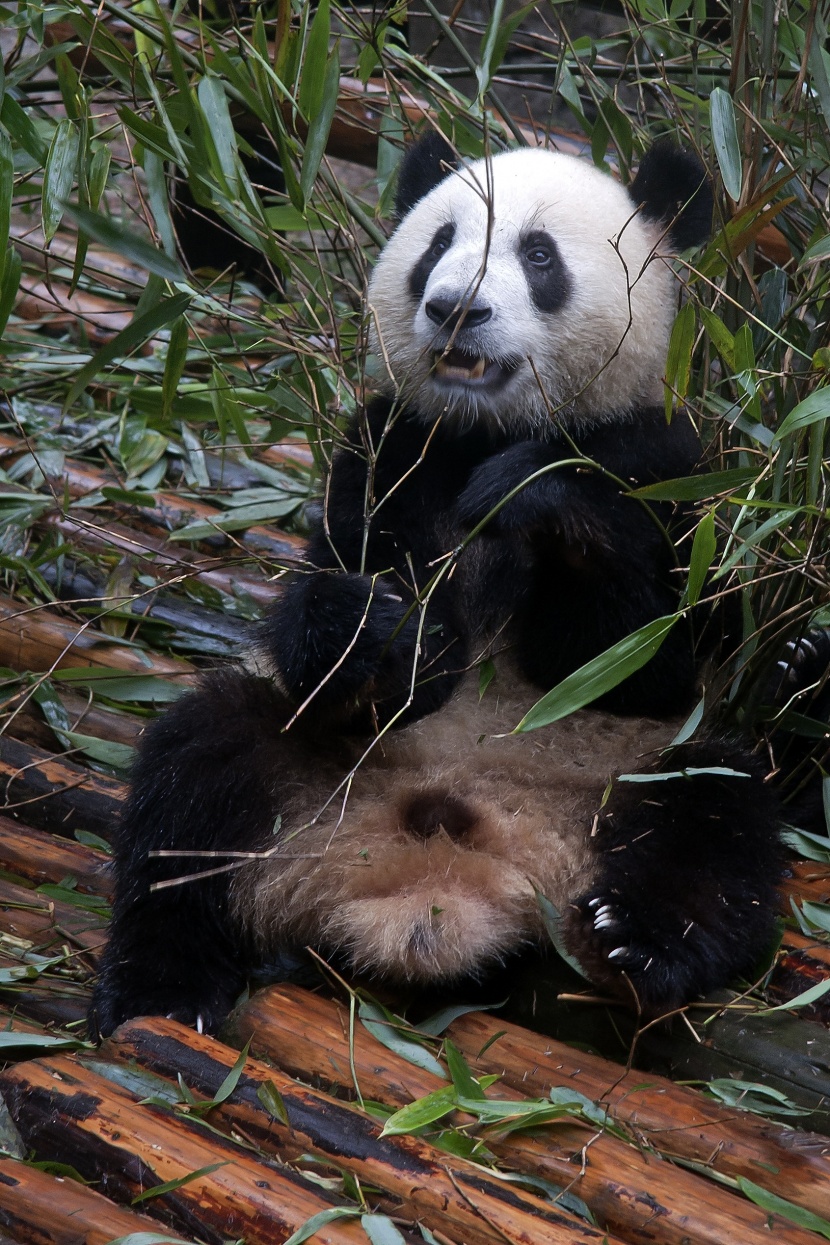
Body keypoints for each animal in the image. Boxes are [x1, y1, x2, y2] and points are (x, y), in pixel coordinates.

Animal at [90, 133, 786, 1040]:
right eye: (437, 244)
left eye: (538, 255)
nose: (455, 307)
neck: (488, 427)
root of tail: (439, 887)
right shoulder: (390, 447)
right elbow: (364, 623)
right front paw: (377, 629)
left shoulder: (670, 470)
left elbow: (635, 654)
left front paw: (532, 493)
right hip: (308, 773)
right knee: (196, 778)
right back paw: (161, 990)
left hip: (620, 773)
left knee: (713, 810)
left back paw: (633, 943)